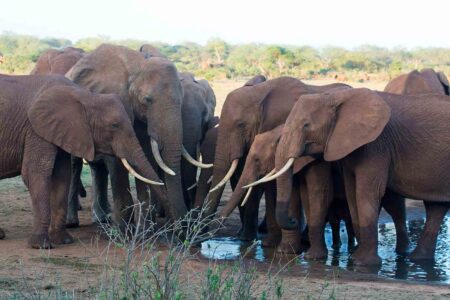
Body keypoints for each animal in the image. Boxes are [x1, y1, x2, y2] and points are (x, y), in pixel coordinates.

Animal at [0, 74, 164, 248]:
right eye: (114, 125)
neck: (86, 96)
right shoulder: (36, 129)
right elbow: (35, 174)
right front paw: (41, 245)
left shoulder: (62, 130)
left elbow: (62, 176)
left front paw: (63, 241)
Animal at [65, 44, 193, 227]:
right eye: (147, 100)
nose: (184, 230)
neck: (137, 66)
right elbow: (118, 162)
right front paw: (125, 228)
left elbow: (145, 157)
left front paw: (144, 228)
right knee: (75, 164)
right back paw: (72, 222)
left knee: (97, 168)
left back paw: (102, 219)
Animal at [272, 88, 450, 266]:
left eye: (306, 125)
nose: (293, 221)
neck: (337, 96)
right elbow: (352, 192)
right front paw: (355, 257)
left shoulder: (376, 145)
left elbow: (367, 192)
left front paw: (363, 263)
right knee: (436, 207)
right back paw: (418, 260)